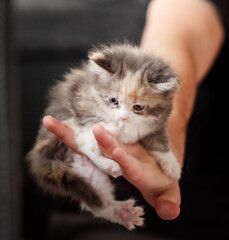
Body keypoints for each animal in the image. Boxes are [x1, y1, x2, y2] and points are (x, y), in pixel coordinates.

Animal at [26, 42, 181, 229]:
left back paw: (122, 212)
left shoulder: (157, 123)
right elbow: (91, 127)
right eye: (114, 101)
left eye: (138, 107)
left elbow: (159, 140)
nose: (123, 117)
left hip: (87, 173)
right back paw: (109, 157)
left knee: (98, 203)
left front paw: (171, 163)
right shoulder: (81, 104)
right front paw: (111, 126)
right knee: (85, 143)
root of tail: (39, 159)